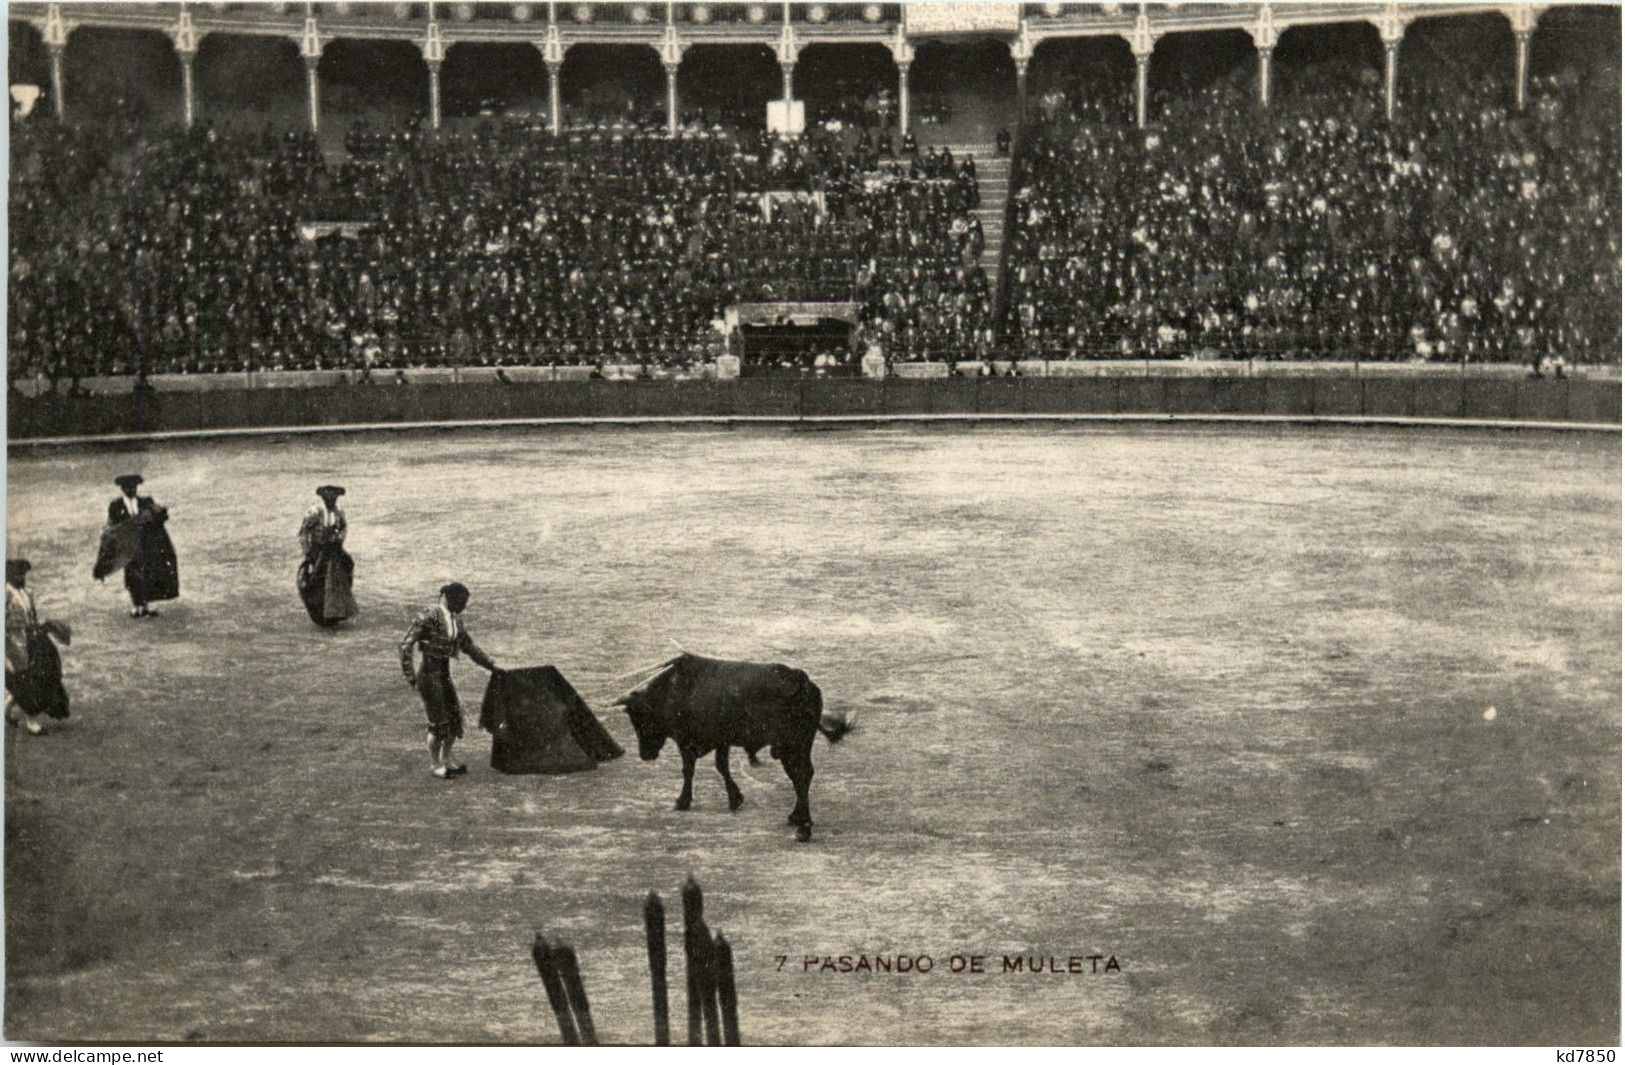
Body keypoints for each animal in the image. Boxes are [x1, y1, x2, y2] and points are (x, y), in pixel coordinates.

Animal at [611, 650, 851, 838]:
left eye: (640, 719)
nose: (645, 755)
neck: (673, 691)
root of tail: (800, 680)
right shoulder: (721, 740)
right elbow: (721, 766)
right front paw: (735, 798)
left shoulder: (687, 742)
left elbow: (689, 770)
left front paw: (682, 801)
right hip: (799, 746)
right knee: (804, 775)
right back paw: (796, 817)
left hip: (791, 746)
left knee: (800, 775)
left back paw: (803, 827)